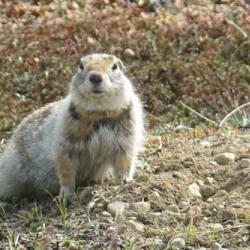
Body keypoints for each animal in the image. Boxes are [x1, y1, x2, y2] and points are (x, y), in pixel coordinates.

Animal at [0, 53, 145, 204]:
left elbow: (124, 160)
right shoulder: (65, 138)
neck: (99, 113)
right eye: (81, 66)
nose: (95, 77)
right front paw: (67, 195)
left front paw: (125, 182)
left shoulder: (126, 135)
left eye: (115, 66)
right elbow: (66, 167)